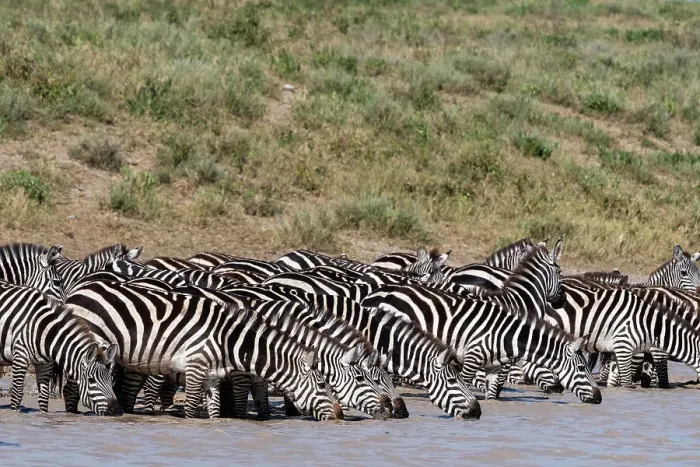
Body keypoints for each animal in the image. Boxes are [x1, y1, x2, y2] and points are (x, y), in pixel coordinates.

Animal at [65, 279, 343, 420]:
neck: (227, 340)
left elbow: (215, 413)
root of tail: (78, 290)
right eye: (322, 385)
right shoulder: (195, 367)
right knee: (72, 383)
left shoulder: (212, 376)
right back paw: (72, 414)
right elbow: (190, 410)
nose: (337, 416)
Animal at [361, 284, 601, 404]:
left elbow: (492, 394)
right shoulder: (472, 357)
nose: (599, 399)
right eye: (582, 368)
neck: (507, 335)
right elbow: (465, 383)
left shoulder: (494, 366)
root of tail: (378, 293)